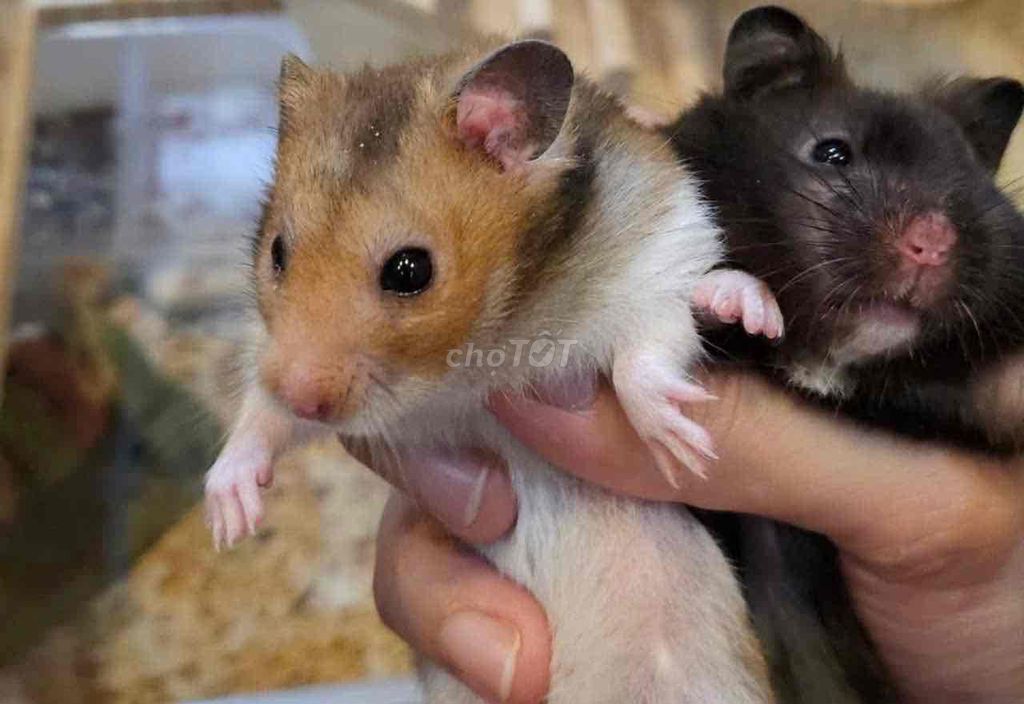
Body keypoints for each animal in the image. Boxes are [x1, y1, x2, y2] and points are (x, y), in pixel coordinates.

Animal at [203, 40, 780, 703]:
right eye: (277, 252)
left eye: (409, 270)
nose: (301, 394)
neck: (473, 359)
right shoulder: (285, 366)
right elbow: (261, 418)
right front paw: (229, 519)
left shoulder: (659, 255)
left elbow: (648, 350)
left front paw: (682, 447)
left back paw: (748, 306)